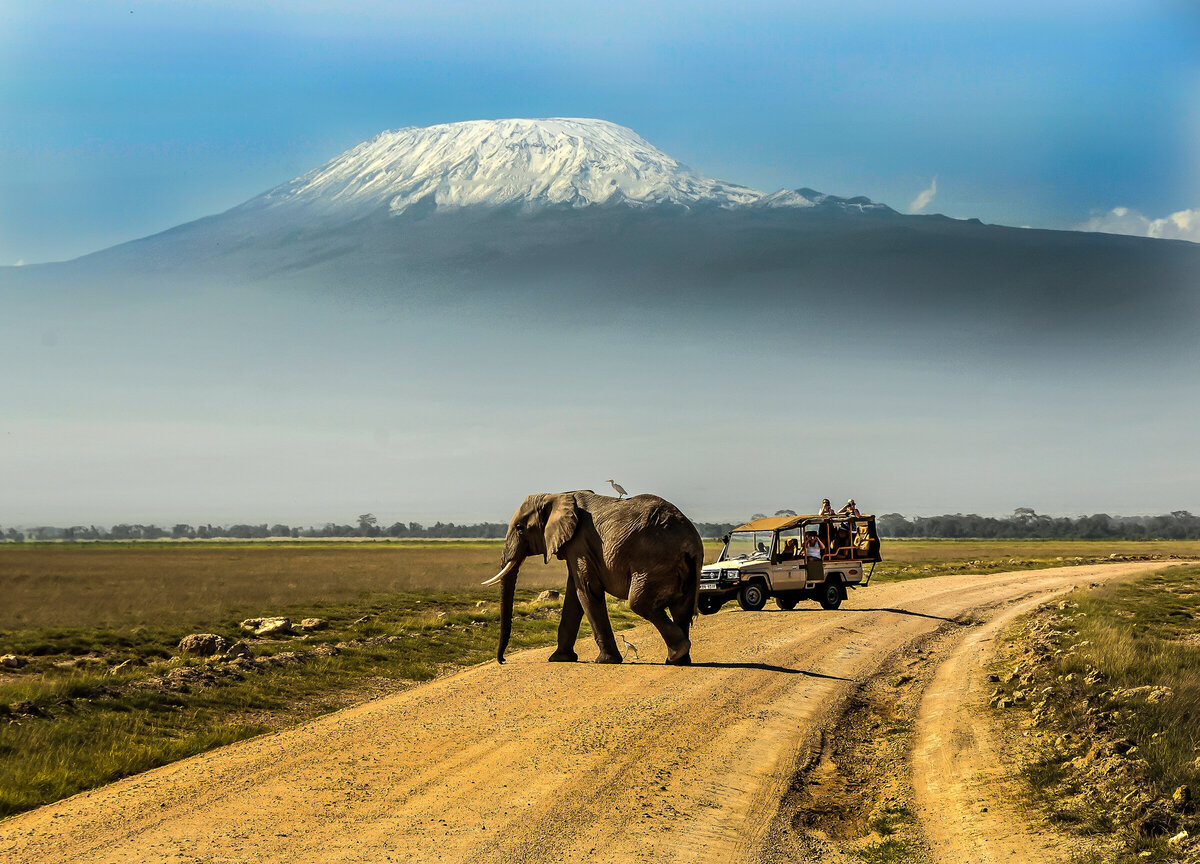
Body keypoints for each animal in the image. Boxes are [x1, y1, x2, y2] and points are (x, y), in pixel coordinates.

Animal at [483, 490, 703, 665]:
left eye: (520, 528)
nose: (503, 661)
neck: (557, 495)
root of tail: (691, 543)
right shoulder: (576, 547)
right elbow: (574, 594)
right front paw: (559, 659)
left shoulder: (580, 544)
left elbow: (587, 590)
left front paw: (605, 661)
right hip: (685, 570)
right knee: (681, 608)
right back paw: (678, 661)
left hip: (654, 563)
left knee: (640, 604)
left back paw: (677, 653)